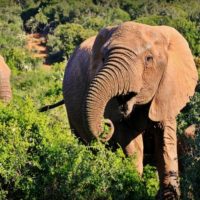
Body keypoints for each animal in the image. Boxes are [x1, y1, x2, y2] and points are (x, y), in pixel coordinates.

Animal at [39, 21, 198, 199]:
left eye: (149, 59)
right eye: (103, 59)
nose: (106, 124)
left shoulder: (166, 92)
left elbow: (166, 142)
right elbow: (130, 143)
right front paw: (133, 188)